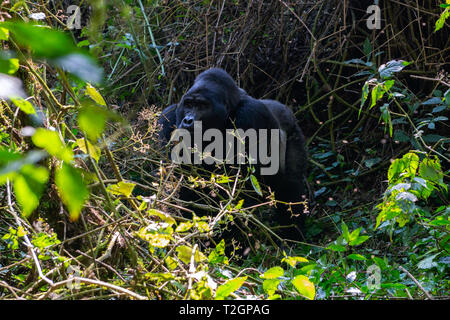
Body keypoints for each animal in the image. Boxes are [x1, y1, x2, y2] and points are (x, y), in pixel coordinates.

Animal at [156, 69, 308, 241]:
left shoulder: (251, 114)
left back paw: (292, 236)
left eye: (202, 106)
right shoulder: (168, 118)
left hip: (293, 131)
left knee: (290, 185)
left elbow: (240, 191)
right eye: (188, 104)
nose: (188, 120)